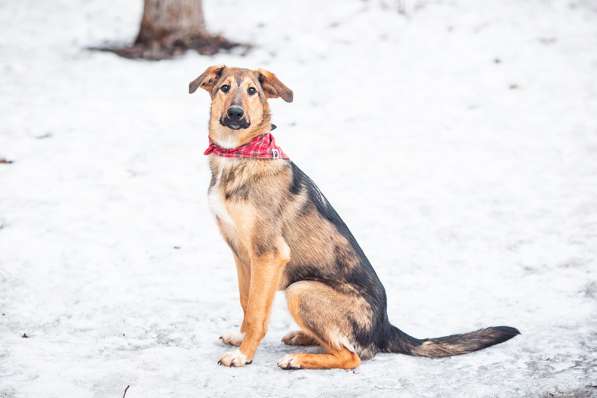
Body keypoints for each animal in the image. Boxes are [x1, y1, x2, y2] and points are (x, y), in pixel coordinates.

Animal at [187, 65, 516, 370]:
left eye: (253, 91)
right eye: (225, 87)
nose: (236, 112)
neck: (238, 156)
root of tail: (384, 327)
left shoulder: (268, 253)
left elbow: (257, 311)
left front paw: (243, 354)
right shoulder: (242, 254)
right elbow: (247, 302)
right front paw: (241, 339)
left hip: (301, 290)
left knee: (351, 357)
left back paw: (298, 358)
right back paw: (302, 337)